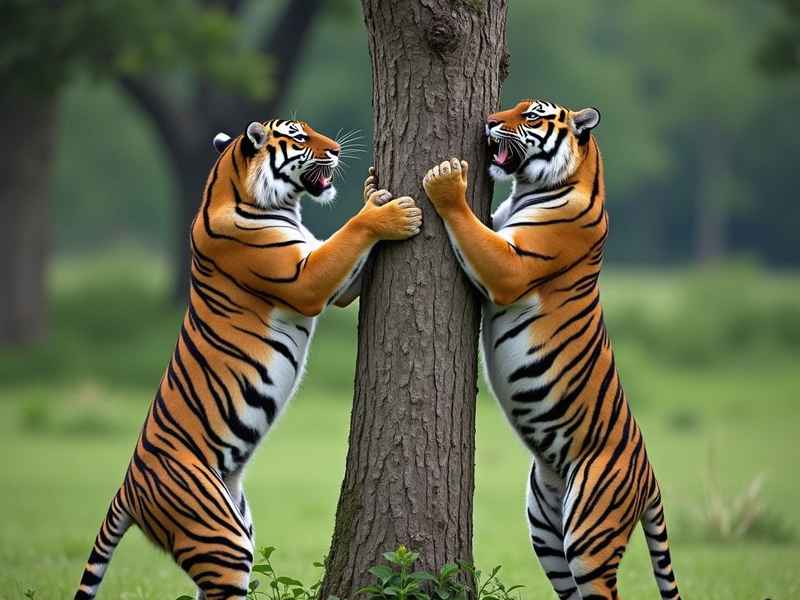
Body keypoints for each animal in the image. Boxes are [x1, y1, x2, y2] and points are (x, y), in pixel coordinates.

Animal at [73, 118, 422, 600]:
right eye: (300, 137)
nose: (336, 150)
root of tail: (126, 489)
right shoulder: (306, 280)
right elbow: (351, 235)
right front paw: (389, 212)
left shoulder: (329, 280)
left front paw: (372, 188)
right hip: (221, 539)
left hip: (232, 523)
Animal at [422, 100, 680, 600]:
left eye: (532, 115)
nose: (488, 122)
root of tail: (650, 476)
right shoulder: (498, 233)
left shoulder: (509, 266)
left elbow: (466, 224)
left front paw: (445, 180)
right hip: (546, 532)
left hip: (588, 533)